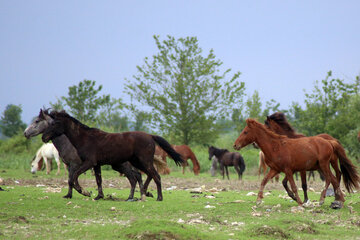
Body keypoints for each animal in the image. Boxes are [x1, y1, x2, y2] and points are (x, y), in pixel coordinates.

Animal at [40, 110, 184, 201]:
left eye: (55, 123)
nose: (43, 137)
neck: (86, 139)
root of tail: (150, 136)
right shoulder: (96, 165)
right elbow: (98, 180)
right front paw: (98, 196)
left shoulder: (89, 162)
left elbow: (74, 176)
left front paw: (84, 192)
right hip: (136, 162)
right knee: (143, 176)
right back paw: (138, 196)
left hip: (144, 161)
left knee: (155, 176)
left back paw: (158, 198)